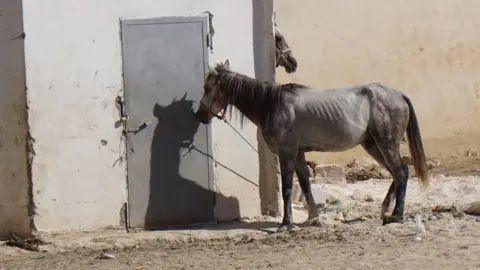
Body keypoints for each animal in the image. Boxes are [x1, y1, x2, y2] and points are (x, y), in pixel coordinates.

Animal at [195, 60, 432, 232]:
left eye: (207, 87)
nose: (199, 115)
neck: (273, 105)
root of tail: (398, 94)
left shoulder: (287, 154)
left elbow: (287, 188)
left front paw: (286, 224)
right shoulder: (299, 154)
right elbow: (305, 185)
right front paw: (313, 218)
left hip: (385, 142)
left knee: (401, 173)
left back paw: (396, 215)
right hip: (372, 145)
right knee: (398, 173)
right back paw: (385, 211)